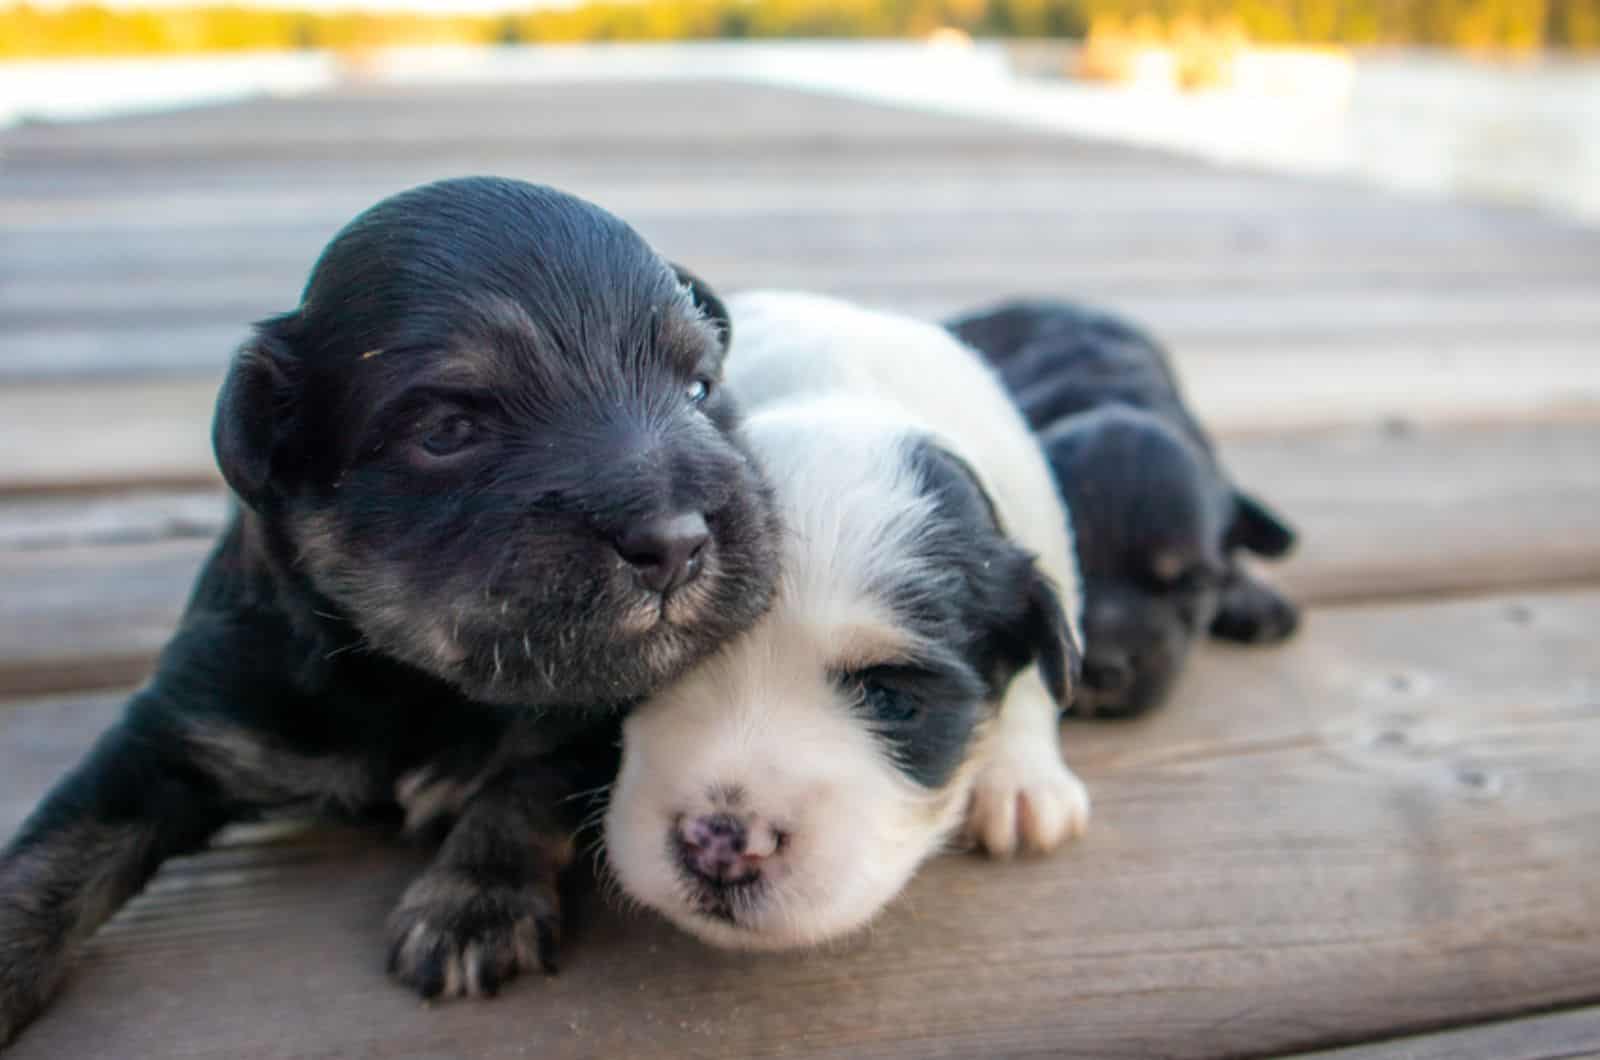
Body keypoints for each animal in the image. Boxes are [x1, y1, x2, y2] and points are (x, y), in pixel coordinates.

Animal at [0, 176, 777, 1043]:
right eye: (447, 431)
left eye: (699, 389)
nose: (675, 543)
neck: (417, 685)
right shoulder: (181, 728)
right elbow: (65, 839)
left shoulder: (598, 722)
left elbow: (527, 779)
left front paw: (471, 903)